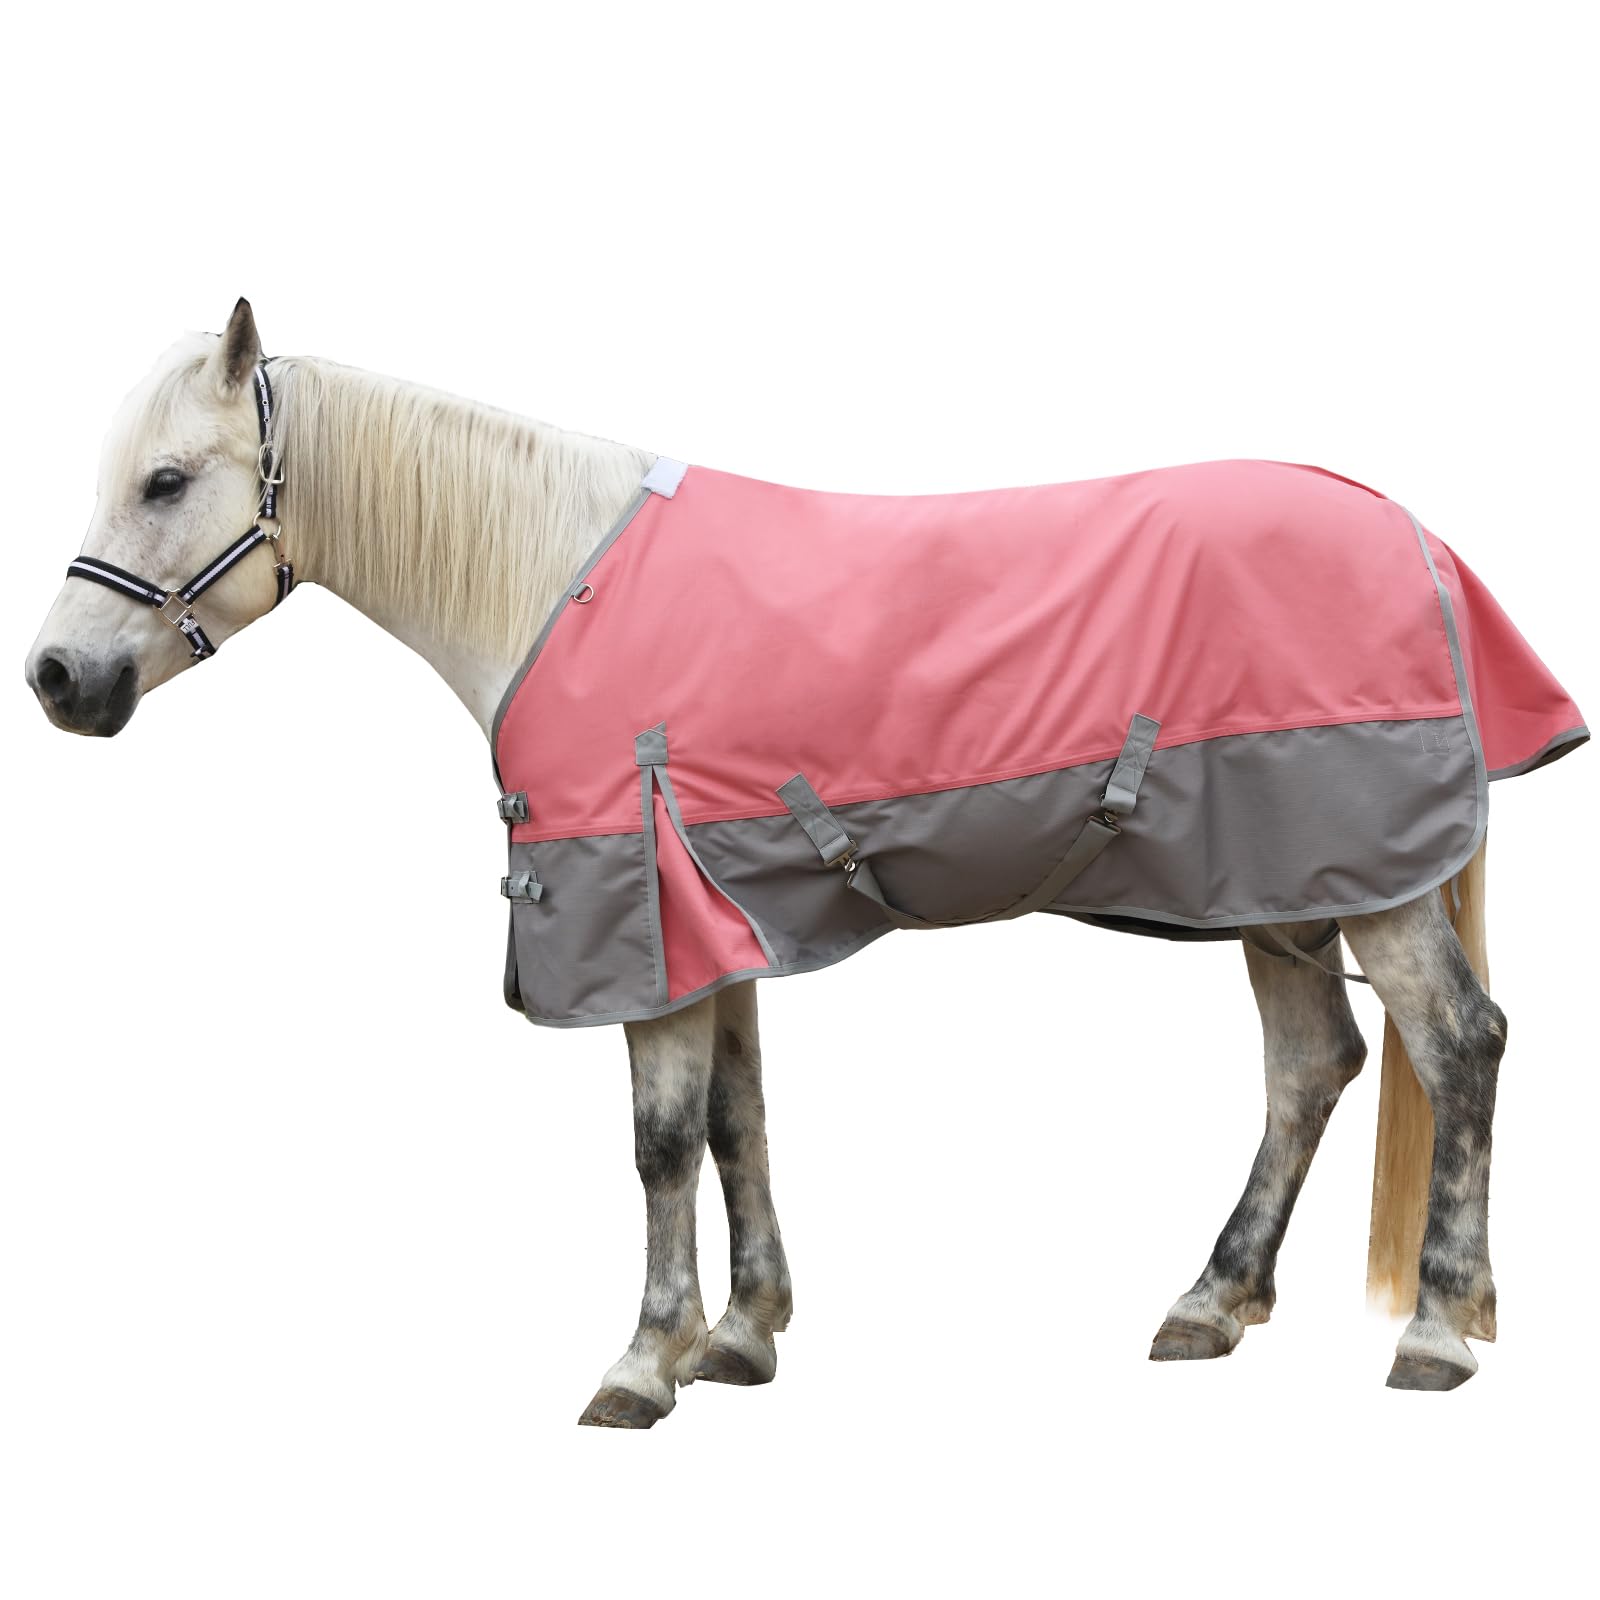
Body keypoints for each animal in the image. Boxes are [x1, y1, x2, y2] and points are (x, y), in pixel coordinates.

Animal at [25, 300, 1585, 1424]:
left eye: (166, 480)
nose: (56, 679)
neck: (551, 583)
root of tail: (1412, 537)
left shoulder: (641, 922)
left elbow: (659, 1142)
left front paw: (642, 1363)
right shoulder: (715, 923)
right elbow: (737, 1122)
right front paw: (741, 1334)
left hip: (1367, 882)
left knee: (1460, 1045)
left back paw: (1436, 1330)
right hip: (1284, 888)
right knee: (1313, 1065)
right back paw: (1211, 1301)